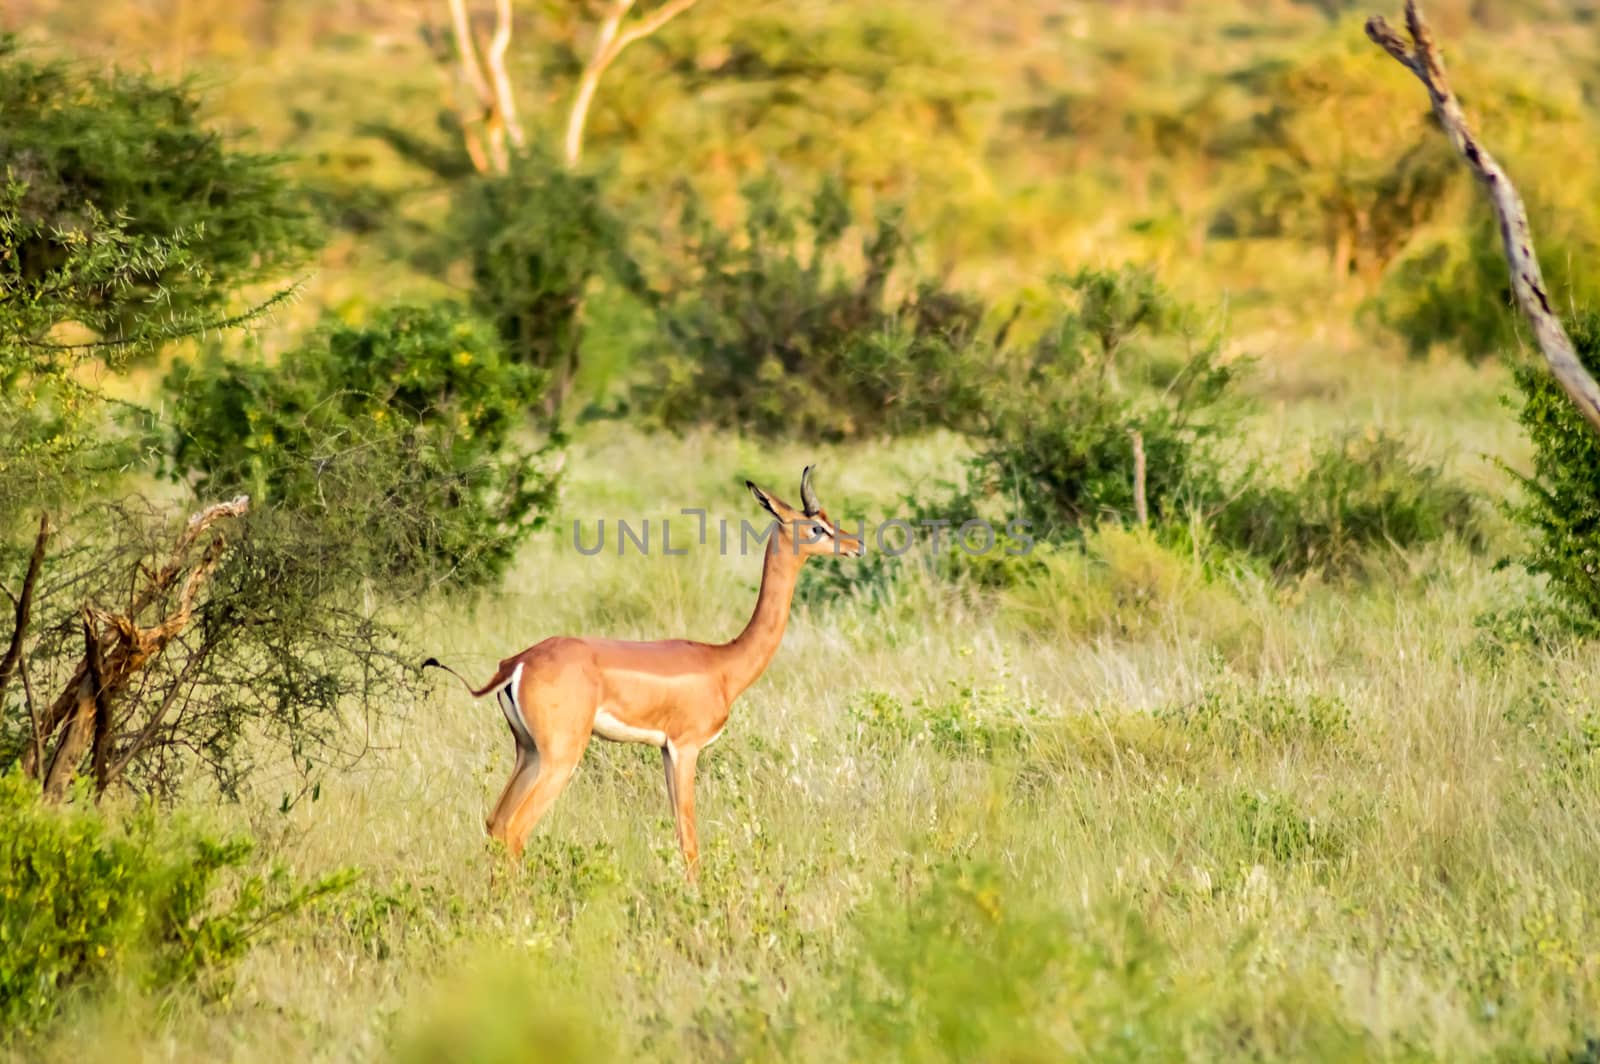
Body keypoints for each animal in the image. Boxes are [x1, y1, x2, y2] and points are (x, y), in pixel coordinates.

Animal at [419, 467, 857, 876]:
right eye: (816, 526)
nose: (856, 544)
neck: (723, 665)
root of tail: (518, 663)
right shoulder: (686, 748)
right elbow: (689, 841)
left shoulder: (664, 750)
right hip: (560, 756)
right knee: (515, 829)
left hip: (527, 751)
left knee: (495, 824)